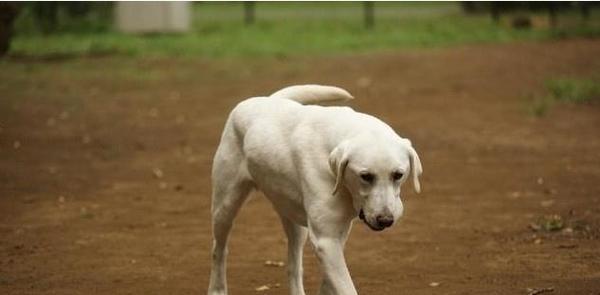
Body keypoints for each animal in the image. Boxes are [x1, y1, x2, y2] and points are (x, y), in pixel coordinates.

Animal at [209, 84, 424, 294]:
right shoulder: (326, 240)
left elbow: (329, 284)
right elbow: (346, 288)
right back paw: (217, 289)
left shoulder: (337, 235)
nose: (386, 220)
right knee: (219, 250)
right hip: (225, 208)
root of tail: (266, 99)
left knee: (293, 266)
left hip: (295, 222)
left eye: (398, 175)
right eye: (365, 176)